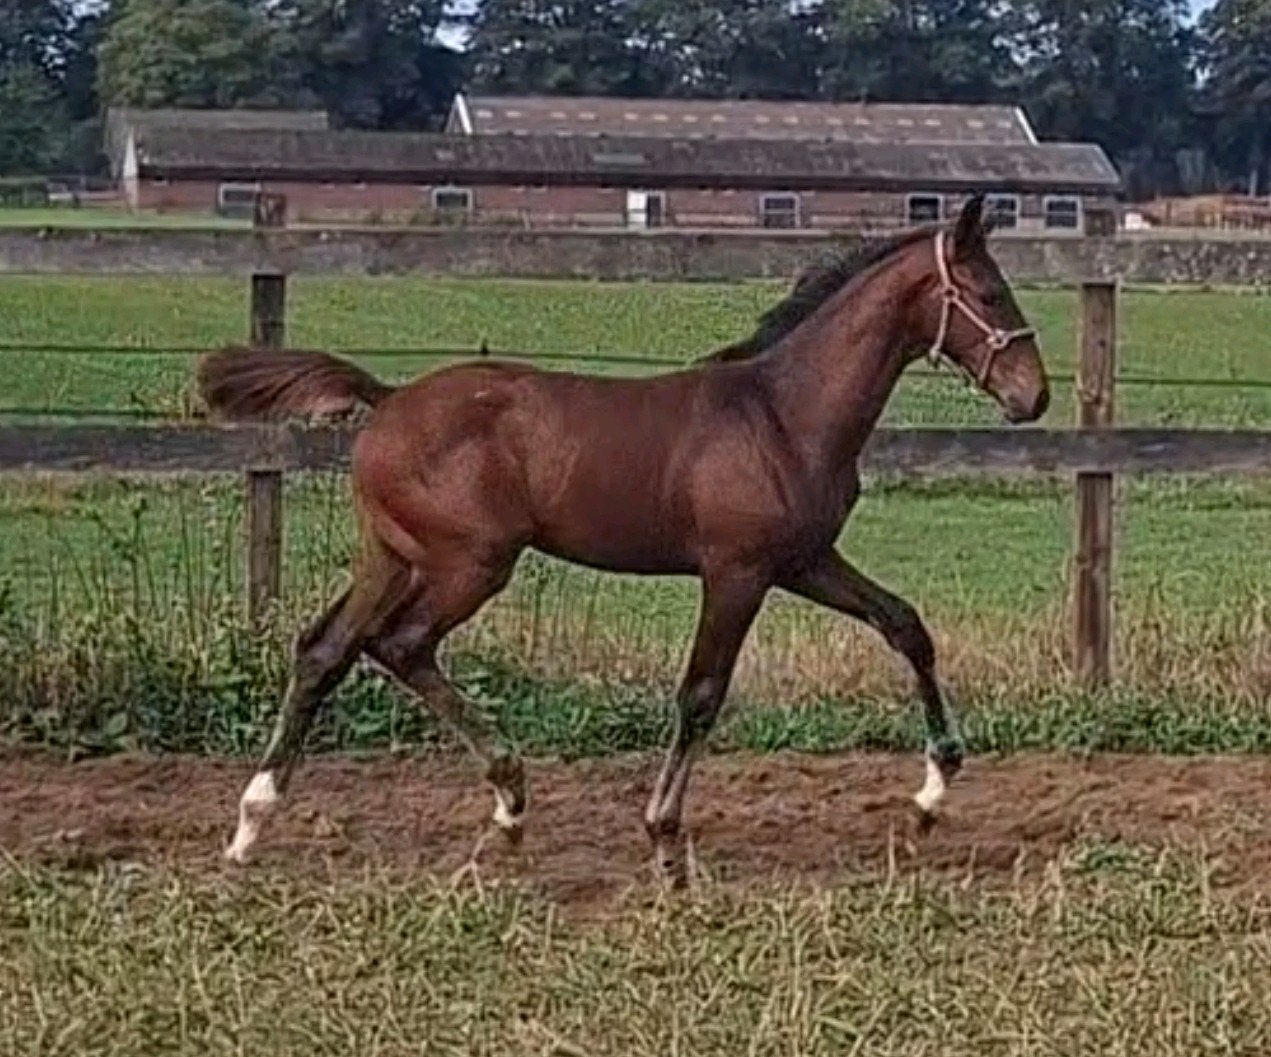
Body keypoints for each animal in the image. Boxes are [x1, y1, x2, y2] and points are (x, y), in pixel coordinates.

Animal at [198, 194, 1048, 887]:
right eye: (986, 292)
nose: (1033, 397)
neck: (782, 412)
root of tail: (386, 399)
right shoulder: (736, 570)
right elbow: (700, 695)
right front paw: (665, 839)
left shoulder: (803, 560)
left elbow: (903, 623)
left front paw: (932, 792)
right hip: (468, 562)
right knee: (399, 645)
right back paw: (508, 798)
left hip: (393, 554)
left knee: (324, 648)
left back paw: (251, 823)